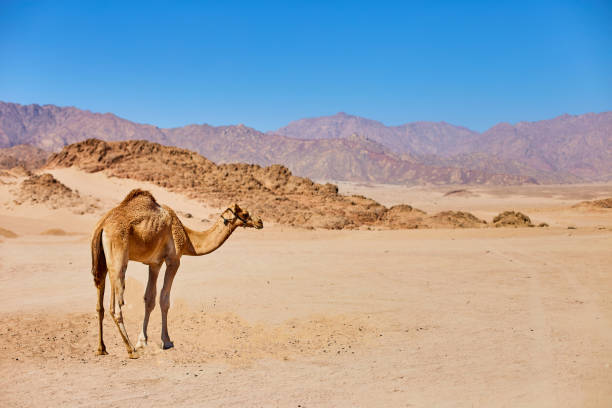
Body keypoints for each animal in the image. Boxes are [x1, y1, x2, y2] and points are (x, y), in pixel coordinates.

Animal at [91, 188, 262, 356]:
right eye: (245, 214)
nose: (259, 222)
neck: (187, 238)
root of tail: (102, 226)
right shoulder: (173, 259)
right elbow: (164, 299)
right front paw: (166, 341)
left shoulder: (155, 263)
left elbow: (149, 299)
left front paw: (142, 341)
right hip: (118, 258)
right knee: (116, 305)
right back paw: (130, 350)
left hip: (101, 262)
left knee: (100, 303)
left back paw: (102, 348)